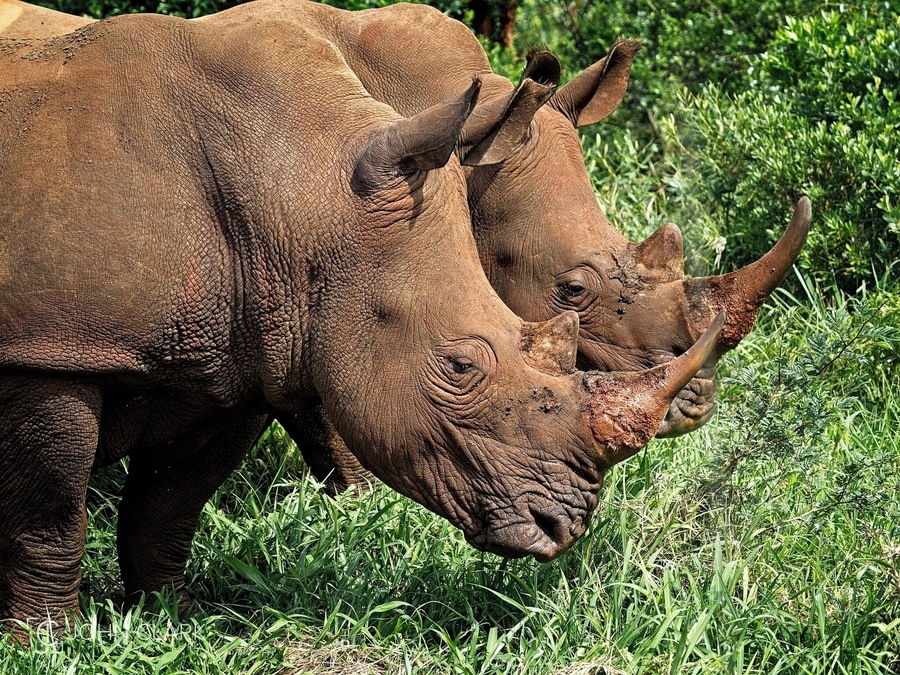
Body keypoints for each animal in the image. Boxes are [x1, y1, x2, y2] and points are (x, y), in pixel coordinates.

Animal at [0, 7, 722, 631]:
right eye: (459, 366)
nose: (563, 526)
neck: (301, 189)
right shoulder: (52, 348)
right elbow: (50, 517)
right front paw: (49, 639)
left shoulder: (245, 352)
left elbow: (168, 506)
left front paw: (167, 617)